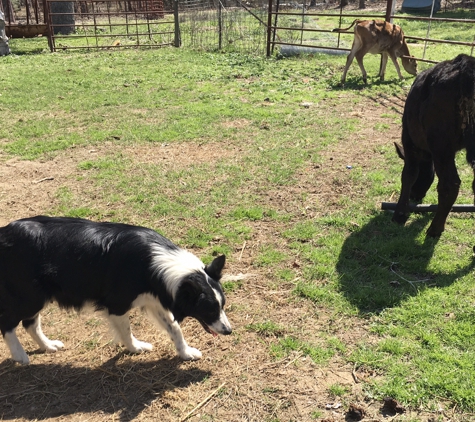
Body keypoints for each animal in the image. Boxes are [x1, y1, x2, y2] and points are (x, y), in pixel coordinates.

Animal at [0, 216, 232, 364]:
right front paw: (135, 348)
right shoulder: (117, 305)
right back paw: (20, 356)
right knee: (8, 323)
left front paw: (186, 353)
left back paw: (48, 346)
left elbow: (174, 328)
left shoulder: (153, 300)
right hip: (29, 297)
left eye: (223, 305)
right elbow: (127, 331)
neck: (150, 263)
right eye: (210, 309)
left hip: (37, 297)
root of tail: (4, 233)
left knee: (30, 323)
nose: (229, 331)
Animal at [392, 53, 475, 237]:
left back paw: (435, 229)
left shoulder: (409, 142)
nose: (415, 196)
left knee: (450, 184)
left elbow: (408, 174)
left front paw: (400, 213)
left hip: (440, 144)